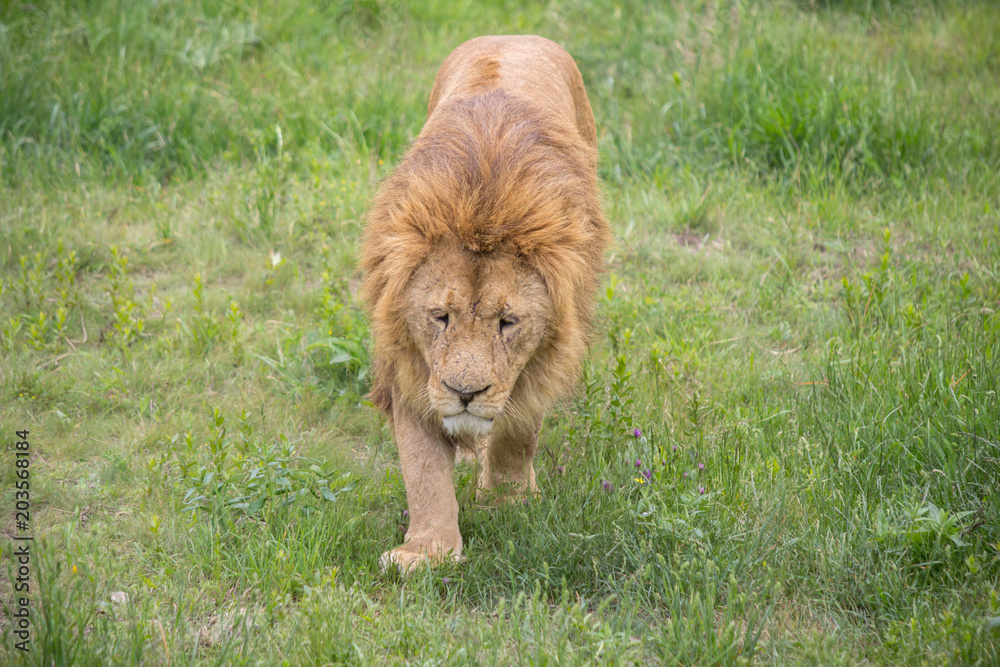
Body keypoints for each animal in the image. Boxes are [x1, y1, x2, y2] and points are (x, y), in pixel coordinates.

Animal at [360, 35, 610, 573]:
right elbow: (423, 467)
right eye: (440, 317)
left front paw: (508, 501)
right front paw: (427, 551)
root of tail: (513, 35)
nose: (465, 393)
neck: (483, 201)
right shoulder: (412, 365)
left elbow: (518, 434)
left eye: (507, 322)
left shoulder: (535, 363)